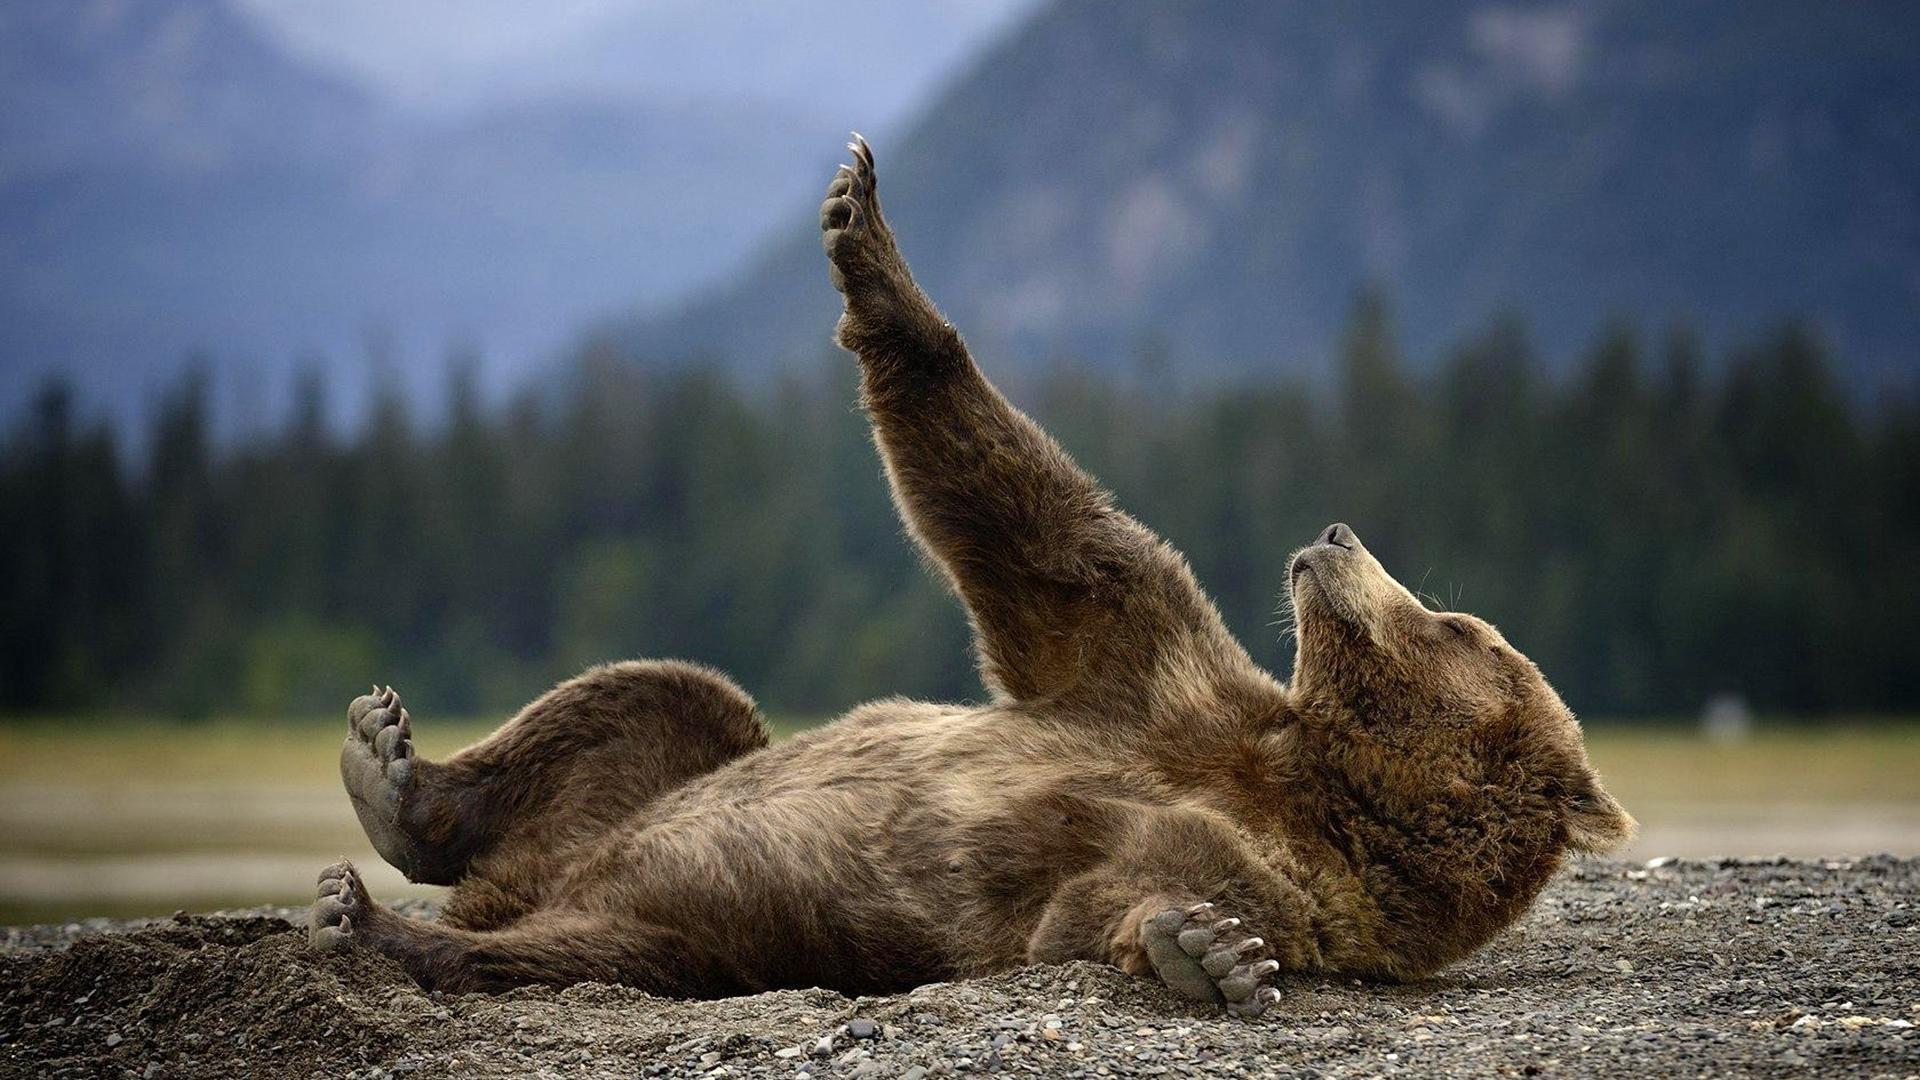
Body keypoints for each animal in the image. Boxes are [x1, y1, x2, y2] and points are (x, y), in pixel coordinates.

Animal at [309, 136, 1635, 1016]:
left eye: (1460, 625)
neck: (1315, 777)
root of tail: (529, 883)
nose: (1342, 534)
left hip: (707, 928)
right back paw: (392, 772)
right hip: (656, 789)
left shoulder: (1293, 876)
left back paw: (378, 925)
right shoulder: (1150, 667)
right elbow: (1034, 526)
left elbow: (1109, 899)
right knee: (667, 699)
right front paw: (861, 225)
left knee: (585, 950)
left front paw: (1205, 949)